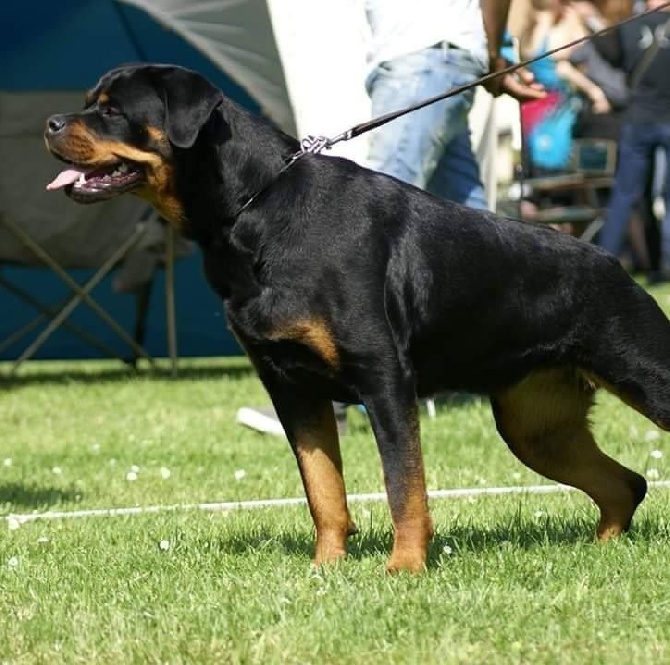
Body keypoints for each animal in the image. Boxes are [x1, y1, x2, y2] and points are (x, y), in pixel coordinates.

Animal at [44, 63, 670, 572]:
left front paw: (405, 568)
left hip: (641, 375)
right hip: (534, 424)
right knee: (626, 484)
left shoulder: (383, 377)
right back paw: (601, 551)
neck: (253, 208)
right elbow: (323, 489)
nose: (50, 122)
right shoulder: (290, 386)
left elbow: (403, 485)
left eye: (112, 111)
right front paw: (326, 568)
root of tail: (613, 261)